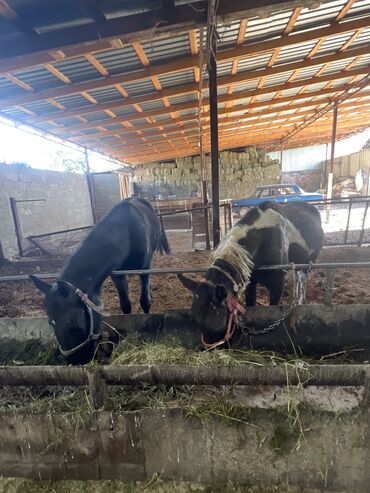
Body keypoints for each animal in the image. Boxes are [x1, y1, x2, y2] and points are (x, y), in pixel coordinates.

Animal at [30, 195, 171, 362]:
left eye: (72, 325)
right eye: (50, 323)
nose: (75, 361)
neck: (127, 231)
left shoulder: (145, 268)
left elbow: (145, 301)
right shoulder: (116, 274)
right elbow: (125, 305)